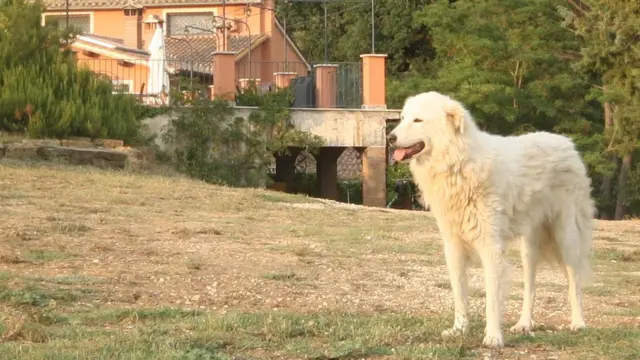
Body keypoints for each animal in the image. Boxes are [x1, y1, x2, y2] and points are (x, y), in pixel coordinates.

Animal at [388, 91, 596, 348]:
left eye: (418, 120)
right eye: (402, 118)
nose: (390, 138)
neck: (459, 163)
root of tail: (567, 144)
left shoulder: (491, 247)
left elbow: (492, 299)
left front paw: (493, 337)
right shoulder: (453, 246)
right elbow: (459, 293)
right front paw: (459, 330)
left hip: (566, 236)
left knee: (574, 282)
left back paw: (578, 323)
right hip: (529, 248)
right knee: (530, 287)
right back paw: (524, 324)